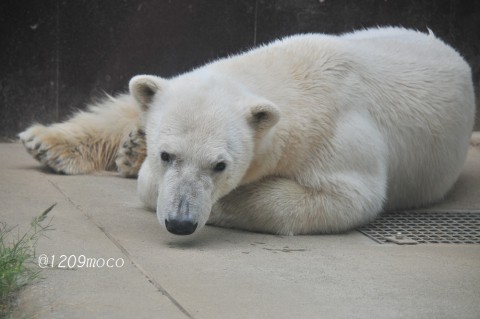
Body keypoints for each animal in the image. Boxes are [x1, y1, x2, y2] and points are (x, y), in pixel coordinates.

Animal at [19, 27, 476, 236]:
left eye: (220, 165)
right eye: (167, 155)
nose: (181, 222)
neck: (297, 75)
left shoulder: (342, 140)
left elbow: (347, 198)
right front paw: (139, 155)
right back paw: (51, 144)